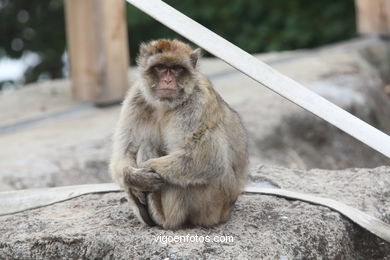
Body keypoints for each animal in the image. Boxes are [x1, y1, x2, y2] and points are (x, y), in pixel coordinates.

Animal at [109, 38, 248, 230]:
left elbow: (210, 159)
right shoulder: (134, 99)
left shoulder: (197, 103)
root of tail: (228, 211)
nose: (168, 80)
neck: (165, 105)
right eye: (160, 67)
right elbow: (124, 153)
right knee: (146, 144)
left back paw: (164, 218)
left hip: (212, 205)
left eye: (176, 68)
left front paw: (148, 168)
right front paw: (135, 178)